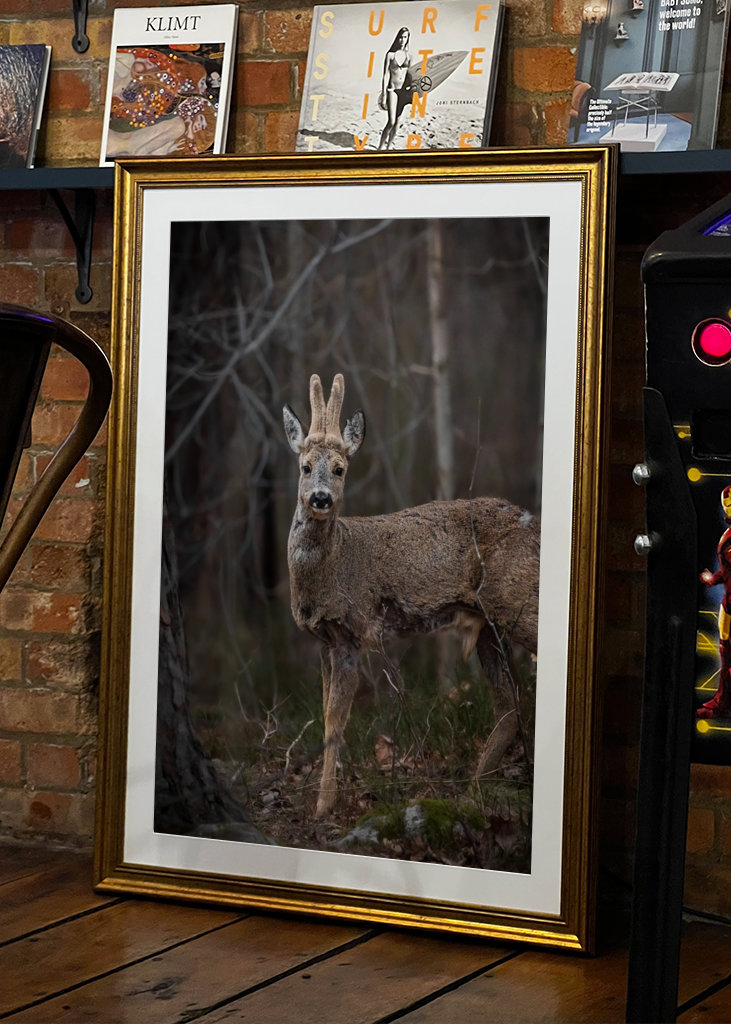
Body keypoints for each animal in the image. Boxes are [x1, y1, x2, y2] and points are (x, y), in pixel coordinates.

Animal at [283, 373, 540, 818]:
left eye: (340, 468)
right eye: (305, 466)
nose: (320, 498)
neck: (333, 564)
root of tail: (536, 526)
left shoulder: (353, 631)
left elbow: (335, 720)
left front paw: (324, 805)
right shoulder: (324, 640)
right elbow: (325, 713)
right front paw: (327, 797)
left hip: (518, 603)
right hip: (490, 626)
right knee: (511, 703)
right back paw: (472, 789)